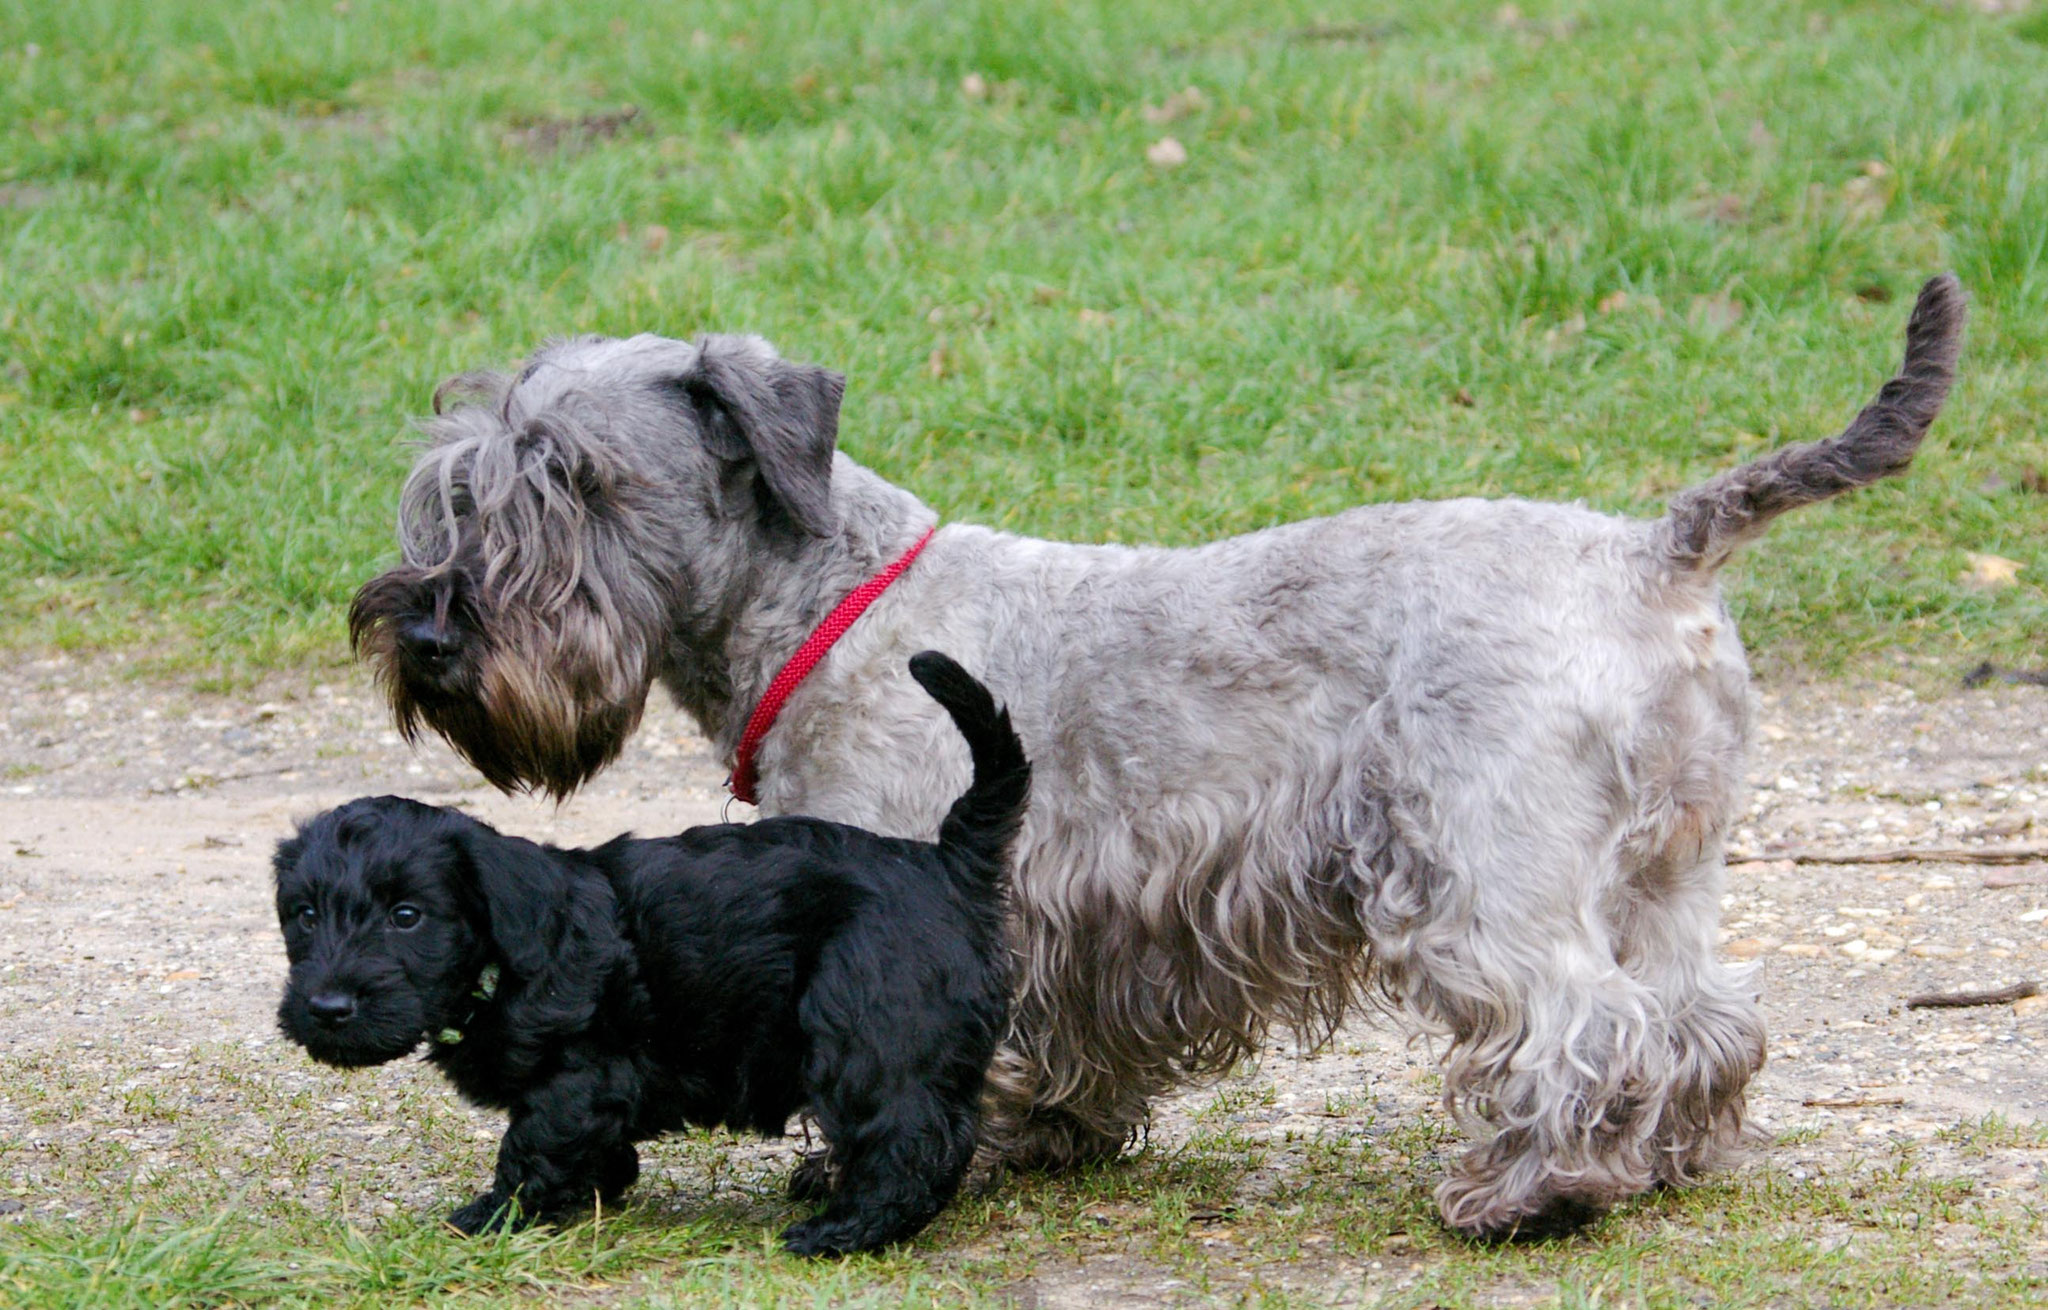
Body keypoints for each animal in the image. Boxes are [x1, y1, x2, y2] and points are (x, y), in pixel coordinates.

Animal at [276, 650, 1024, 1252]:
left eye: (407, 917)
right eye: (303, 915)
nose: (327, 1007)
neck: (504, 960)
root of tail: (946, 863)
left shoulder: (578, 1076)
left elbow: (533, 1146)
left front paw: (495, 1215)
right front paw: (596, 1187)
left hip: (870, 1034)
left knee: (907, 1139)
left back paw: (841, 1231)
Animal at [352, 276, 1966, 1236]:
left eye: (571, 481)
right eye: (456, 487)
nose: (423, 626)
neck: (827, 598)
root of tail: (1653, 550)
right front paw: (1047, 1133)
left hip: (1481, 874)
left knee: (1578, 1022)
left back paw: (1529, 1187)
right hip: (1666, 868)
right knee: (1703, 1018)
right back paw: (1669, 1156)